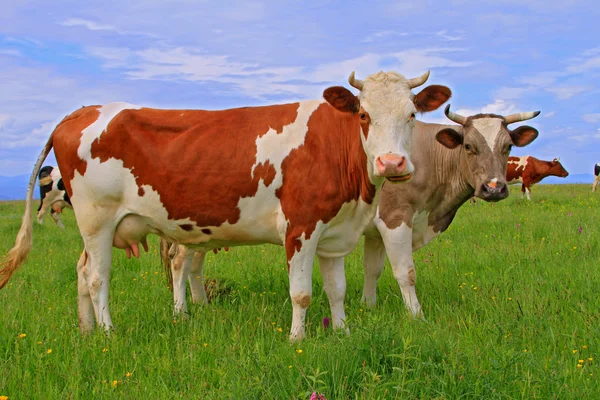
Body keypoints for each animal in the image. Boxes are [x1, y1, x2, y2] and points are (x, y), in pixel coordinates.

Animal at [0, 70, 450, 340]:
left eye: (412, 115)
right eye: (363, 114)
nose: (391, 163)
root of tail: (79, 112)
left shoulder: (334, 232)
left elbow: (337, 289)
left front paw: (341, 333)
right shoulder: (301, 227)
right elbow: (302, 293)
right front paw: (298, 339)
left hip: (96, 226)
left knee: (81, 271)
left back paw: (87, 331)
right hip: (97, 219)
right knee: (97, 278)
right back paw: (109, 333)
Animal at [360, 105, 540, 316]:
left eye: (509, 146)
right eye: (468, 146)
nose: (494, 188)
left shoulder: (375, 232)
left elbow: (372, 269)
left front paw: (367, 306)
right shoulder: (394, 217)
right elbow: (406, 273)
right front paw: (416, 316)